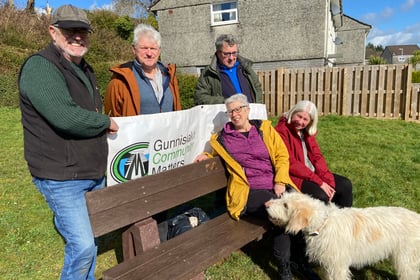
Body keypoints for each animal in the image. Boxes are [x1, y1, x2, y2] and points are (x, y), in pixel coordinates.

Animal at [266, 192, 420, 280]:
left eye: (286, 205)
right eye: (282, 198)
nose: (266, 204)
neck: (323, 224)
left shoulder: (337, 266)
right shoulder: (328, 264)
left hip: (406, 260)